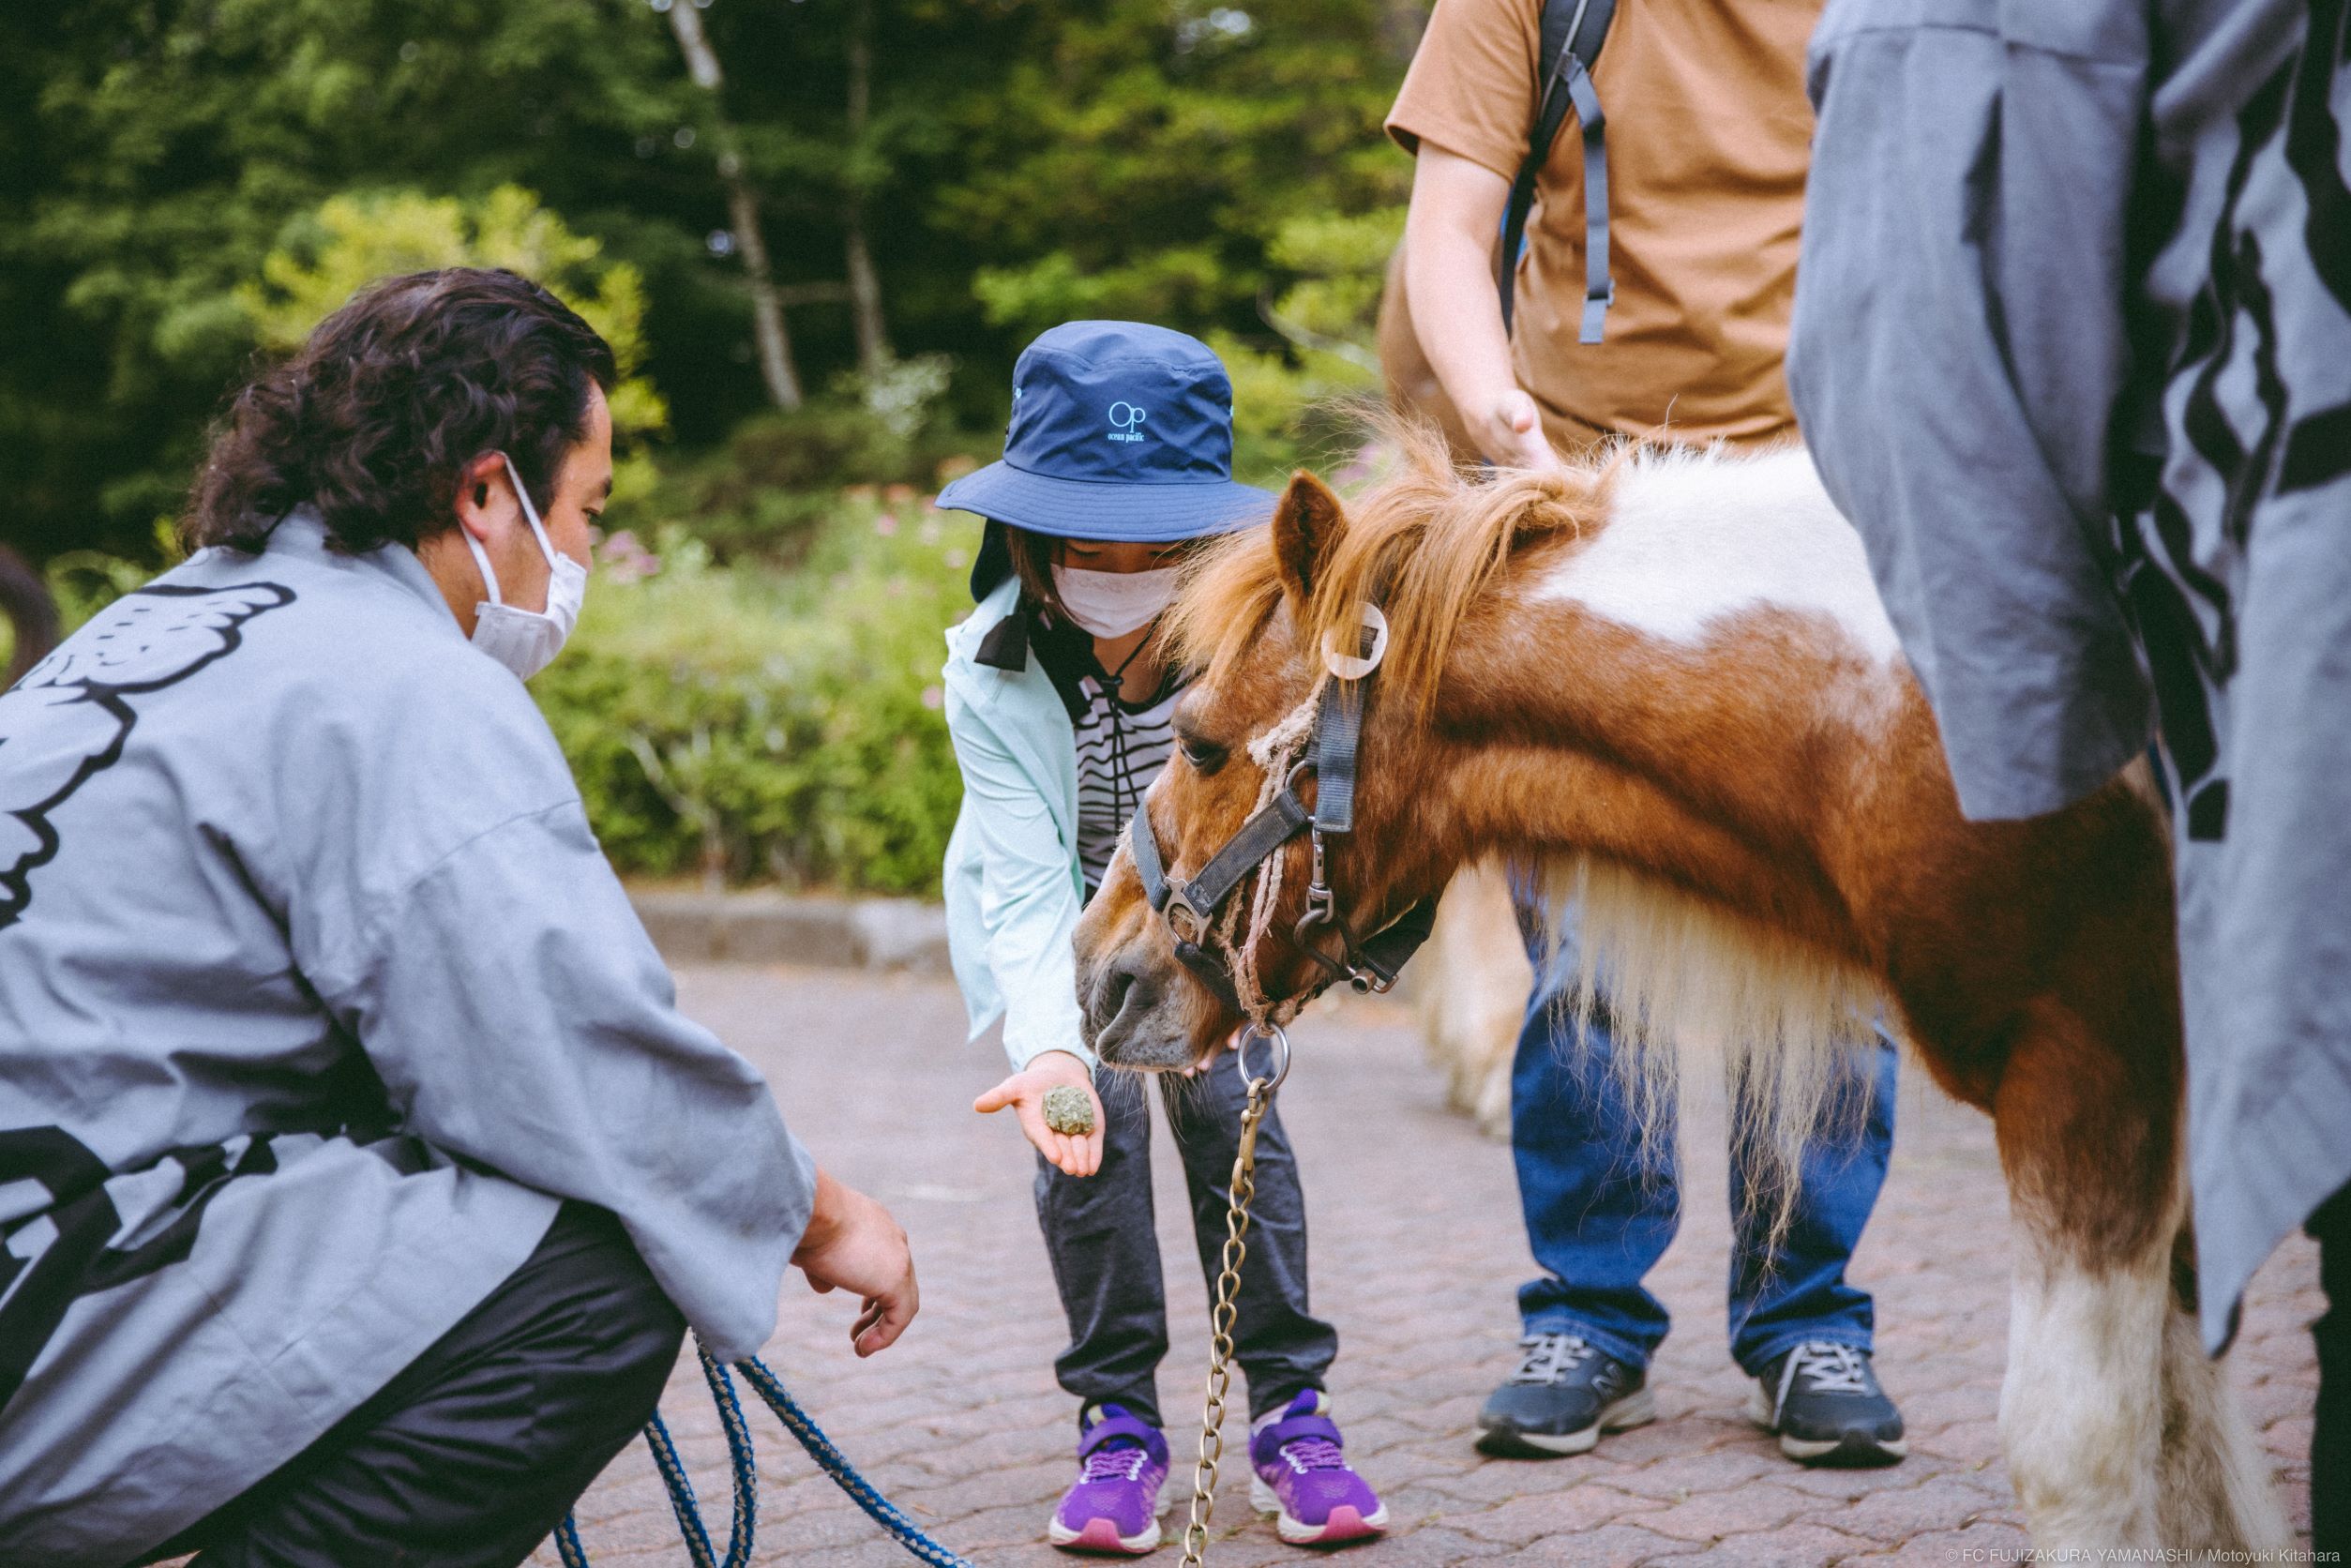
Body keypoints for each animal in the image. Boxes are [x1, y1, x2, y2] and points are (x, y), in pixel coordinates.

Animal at [1069, 429, 2289, 1554]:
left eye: (1199, 739)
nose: (1096, 969)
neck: (1911, 698)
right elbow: (2187, 1451)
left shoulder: (2088, 1062)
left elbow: (2079, 1447)